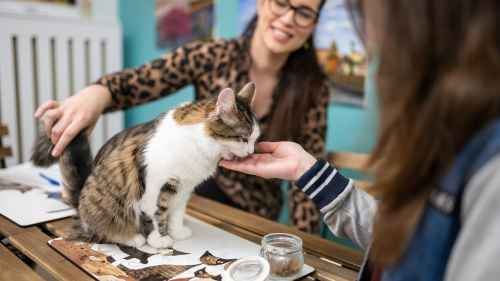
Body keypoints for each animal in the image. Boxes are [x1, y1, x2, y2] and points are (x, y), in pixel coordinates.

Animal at [30, 82, 260, 248]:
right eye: (243, 139)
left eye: (255, 139)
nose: (251, 152)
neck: (198, 146)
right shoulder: (155, 188)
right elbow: (157, 217)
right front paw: (160, 240)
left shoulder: (183, 189)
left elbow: (176, 215)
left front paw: (177, 233)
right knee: (103, 231)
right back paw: (134, 238)